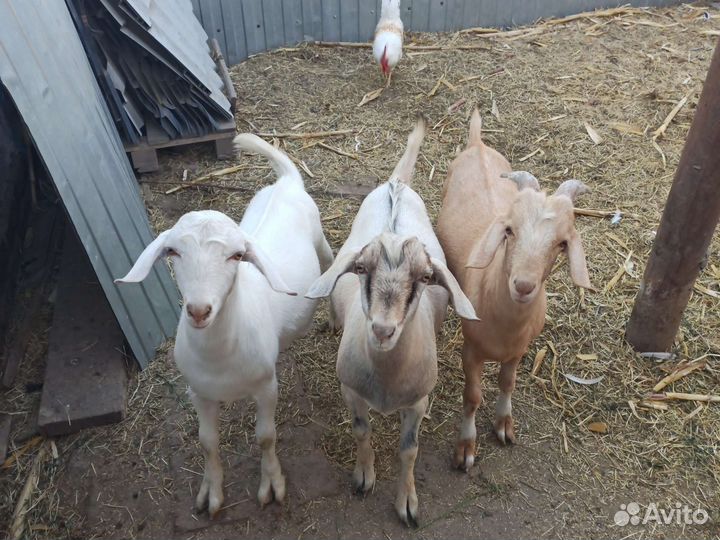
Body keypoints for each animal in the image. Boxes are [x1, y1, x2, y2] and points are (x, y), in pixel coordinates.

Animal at [116, 134, 333, 516]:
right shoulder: (198, 392)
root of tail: (286, 182)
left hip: (321, 239)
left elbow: (265, 437)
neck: (219, 356)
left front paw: (271, 485)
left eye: (236, 256)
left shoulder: (266, 386)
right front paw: (211, 493)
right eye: (172, 252)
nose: (199, 310)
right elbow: (207, 441)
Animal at [306, 116, 477, 526]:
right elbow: (360, 431)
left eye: (426, 277)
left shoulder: (418, 402)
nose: (383, 330)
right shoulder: (351, 390)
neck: (385, 379)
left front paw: (407, 503)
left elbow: (409, 450)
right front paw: (364, 477)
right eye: (361, 269)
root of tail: (396, 184)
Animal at [437, 109, 593, 471]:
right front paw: (466, 448)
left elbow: (508, 383)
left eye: (562, 243)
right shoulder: (471, 350)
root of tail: (478, 143)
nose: (523, 285)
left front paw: (504, 425)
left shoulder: (519, 351)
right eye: (509, 230)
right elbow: (472, 396)